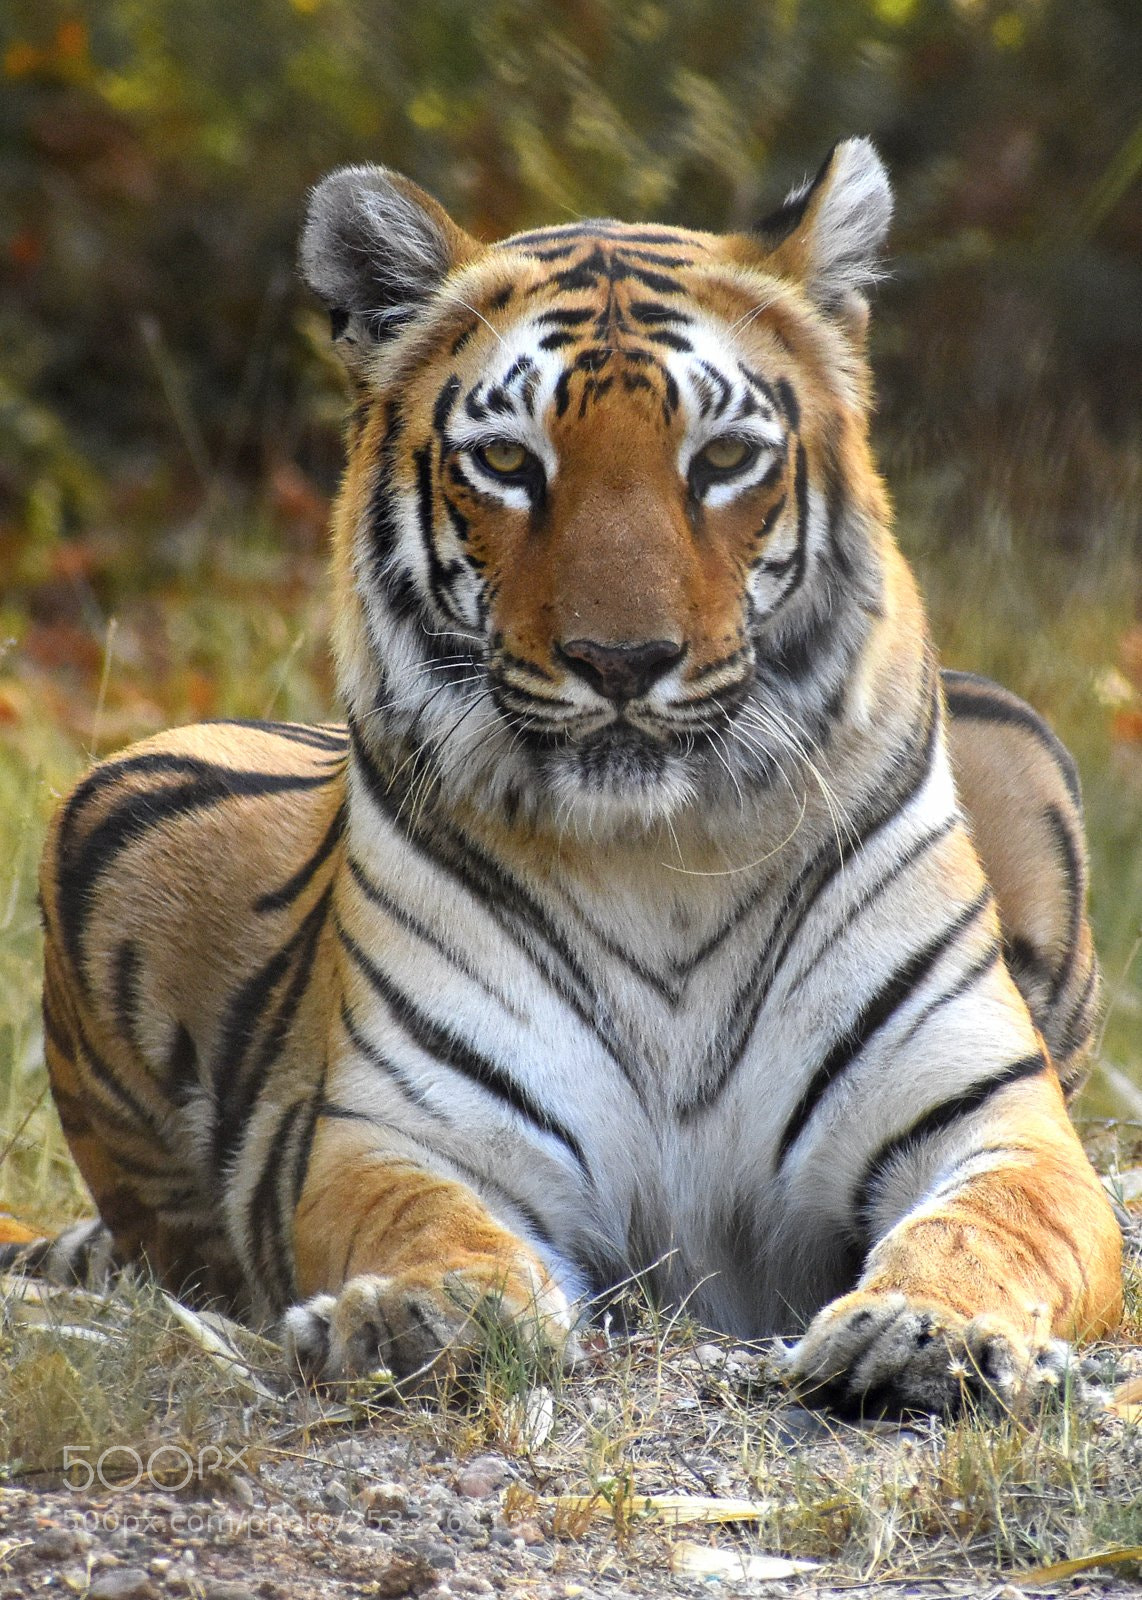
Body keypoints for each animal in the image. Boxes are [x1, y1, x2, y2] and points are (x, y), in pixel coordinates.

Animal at [9, 137, 1121, 1415]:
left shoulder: (989, 1116)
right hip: (114, 792)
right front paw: (420, 1314)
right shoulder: (409, 1131)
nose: (620, 660)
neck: (661, 855)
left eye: (723, 459)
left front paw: (927, 1330)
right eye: (506, 462)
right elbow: (425, 1223)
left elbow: (993, 1226)